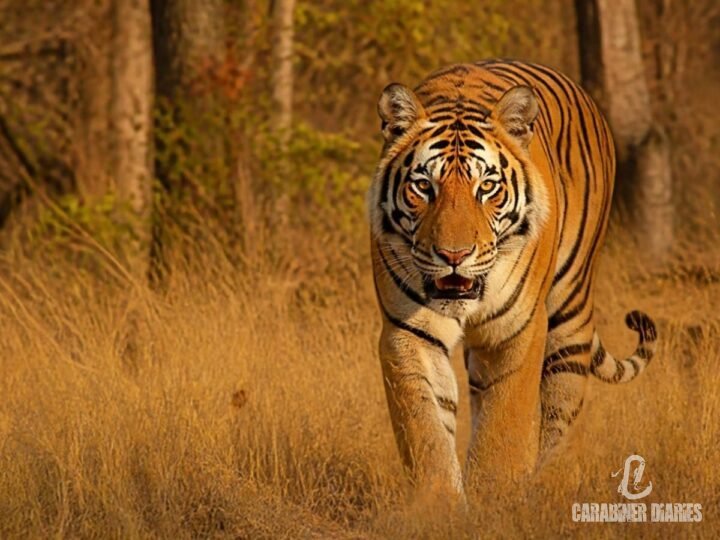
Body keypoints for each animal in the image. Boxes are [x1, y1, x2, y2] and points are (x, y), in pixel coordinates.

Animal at [368, 60, 657, 496]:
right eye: (423, 186)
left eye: (487, 187)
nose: (454, 256)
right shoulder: (409, 331)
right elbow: (425, 429)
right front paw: (441, 502)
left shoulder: (516, 329)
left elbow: (505, 426)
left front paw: (496, 495)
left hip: (570, 310)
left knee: (560, 408)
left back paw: (549, 485)